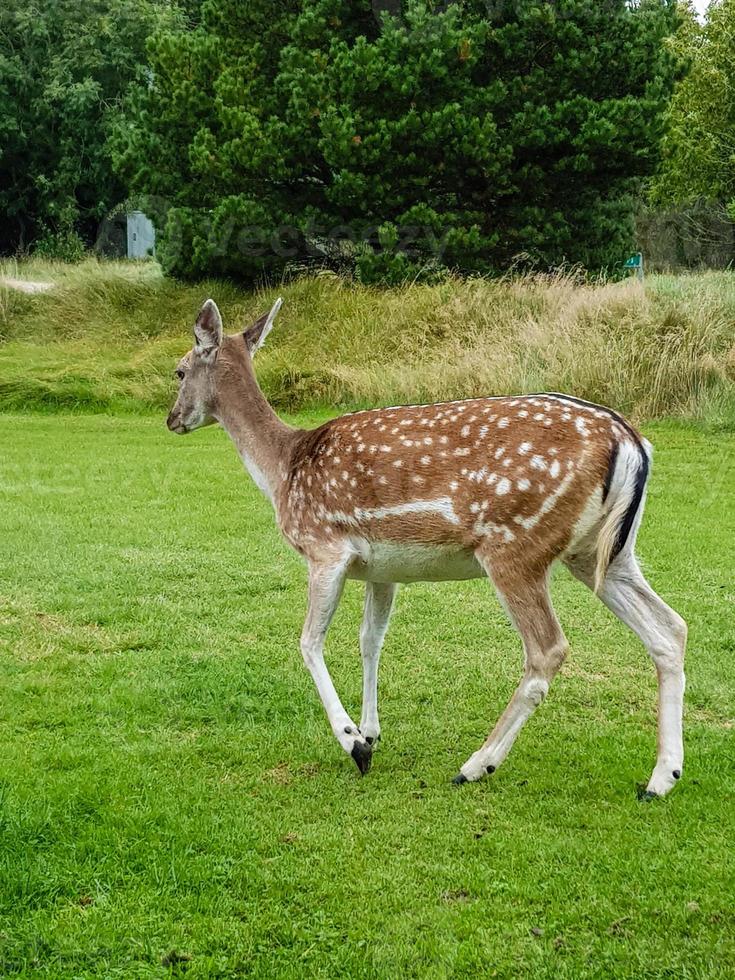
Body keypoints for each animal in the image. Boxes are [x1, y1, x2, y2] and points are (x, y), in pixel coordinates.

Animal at [168, 296, 688, 796]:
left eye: (179, 370)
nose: (171, 419)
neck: (283, 470)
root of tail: (632, 441)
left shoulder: (325, 547)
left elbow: (309, 641)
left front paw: (354, 743)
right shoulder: (381, 568)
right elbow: (370, 638)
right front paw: (372, 732)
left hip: (516, 544)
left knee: (549, 649)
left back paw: (476, 765)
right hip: (604, 552)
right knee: (670, 629)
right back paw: (662, 778)